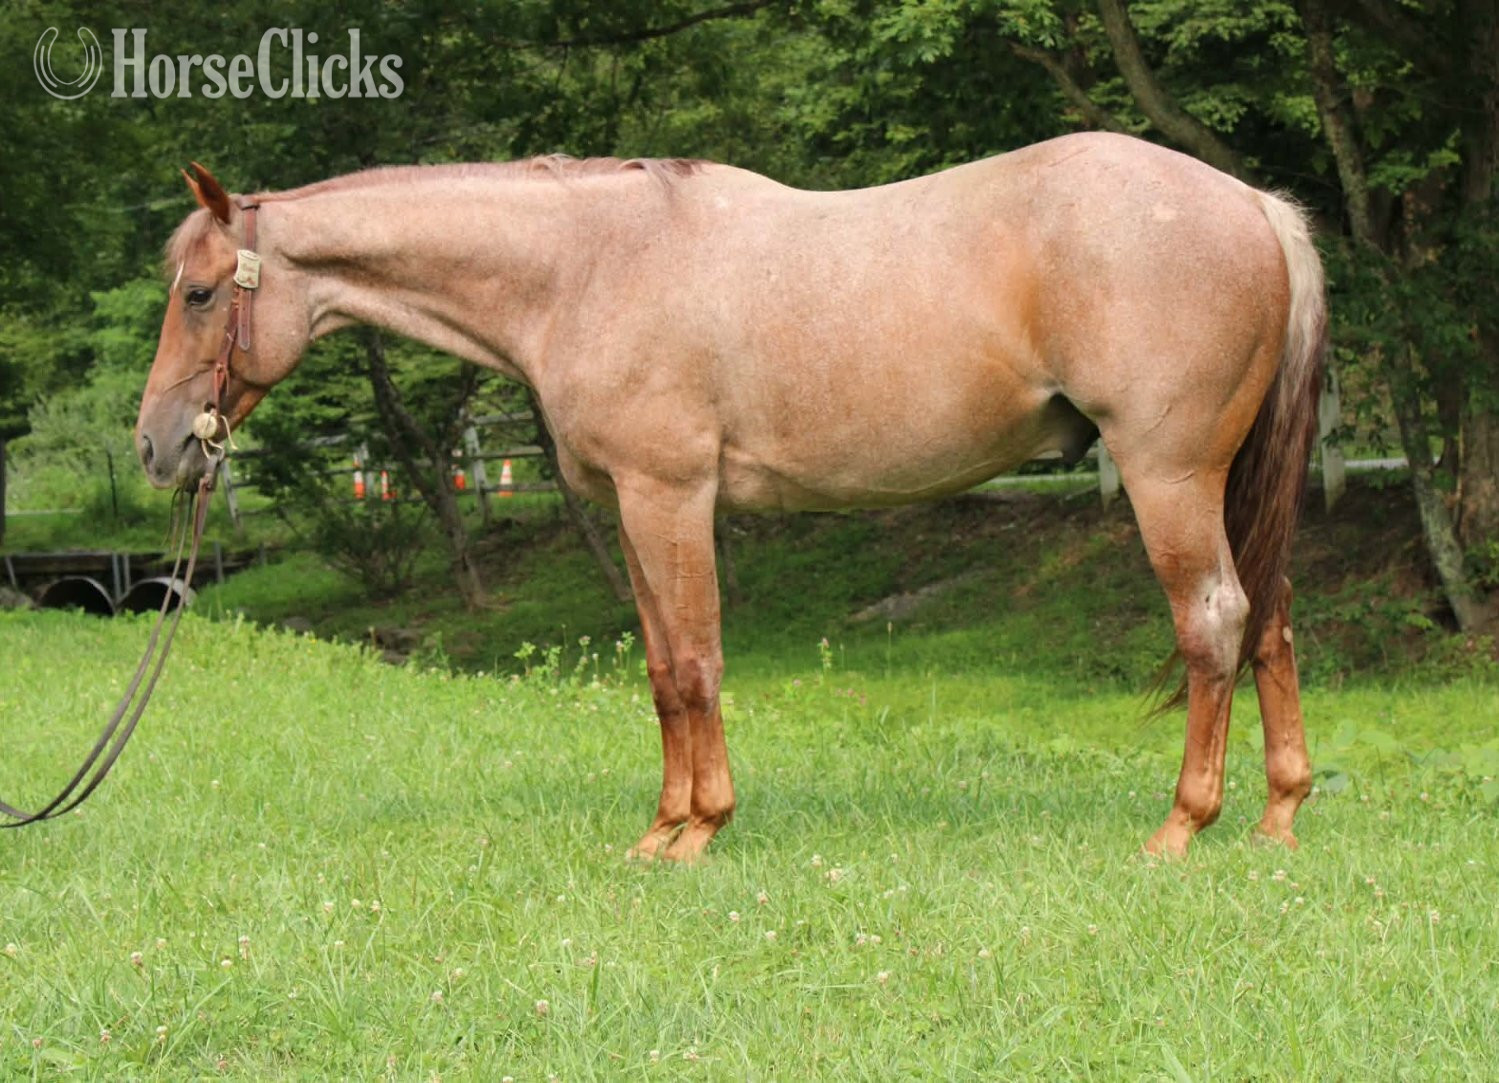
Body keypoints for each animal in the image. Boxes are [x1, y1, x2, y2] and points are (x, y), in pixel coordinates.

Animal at [136, 133, 1324, 861]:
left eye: (199, 293)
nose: (157, 445)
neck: (586, 265)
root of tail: (1253, 205)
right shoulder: (632, 506)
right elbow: (665, 673)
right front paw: (662, 829)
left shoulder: (668, 496)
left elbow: (697, 665)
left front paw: (701, 829)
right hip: (1226, 482)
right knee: (1267, 619)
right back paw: (1276, 816)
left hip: (1167, 474)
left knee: (1213, 621)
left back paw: (1182, 826)